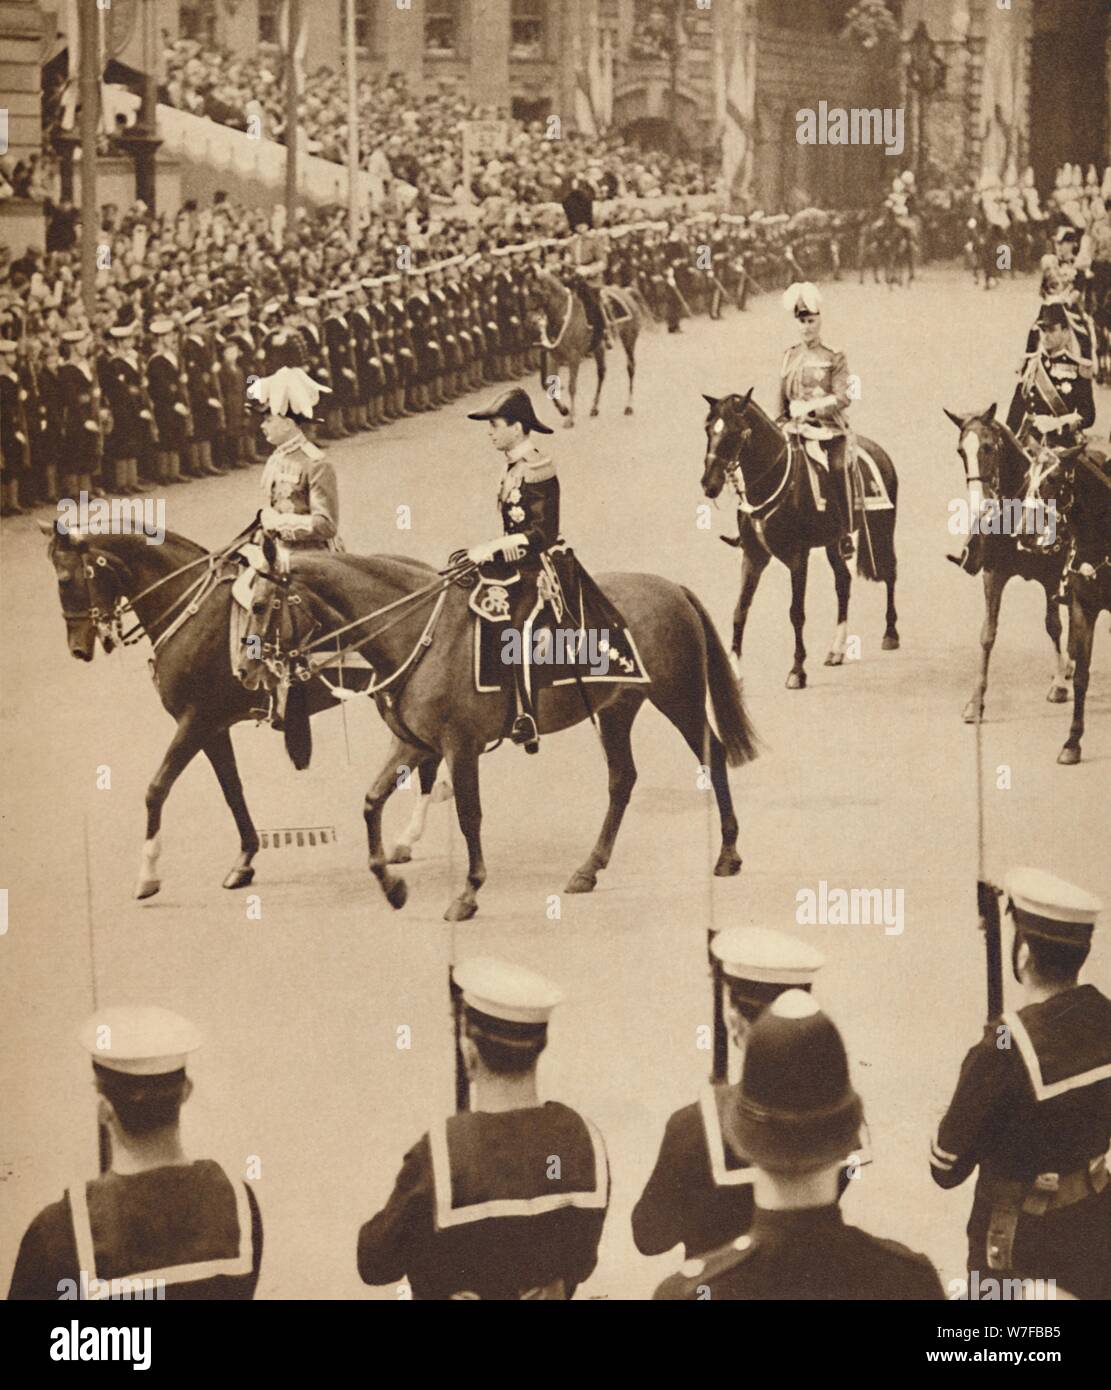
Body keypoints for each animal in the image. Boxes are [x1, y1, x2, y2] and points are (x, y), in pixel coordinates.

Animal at [240, 539, 761, 922]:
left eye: (261, 605)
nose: (246, 672)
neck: (418, 634)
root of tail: (672, 587)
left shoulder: (459, 746)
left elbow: (469, 816)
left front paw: (468, 893)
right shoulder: (412, 743)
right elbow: (371, 802)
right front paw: (391, 885)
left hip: (679, 699)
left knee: (712, 756)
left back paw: (728, 852)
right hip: (617, 710)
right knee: (622, 780)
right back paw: (588, 868)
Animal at [528, 265, 642, 425]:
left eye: (536, 292)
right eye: (528, 291)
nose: (532, 321)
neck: (563, 316)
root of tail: (626, 292)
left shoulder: (574, 358)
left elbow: (571, 386)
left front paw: (570, 418)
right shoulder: (554, 357)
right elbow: (550, 385)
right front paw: (564, 410)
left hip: (629, 341)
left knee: (630, 368)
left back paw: (628, 406)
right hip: (599, 348)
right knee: (601, 373)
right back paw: (594, 408)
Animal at [703, 389, 901, 692]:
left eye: (735, 432)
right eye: (708, 429)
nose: (708, 484)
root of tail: (879, 451)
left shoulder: (798, 557)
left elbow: (796, 612)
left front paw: (797, 671)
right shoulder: (754, 555)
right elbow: (740, 609)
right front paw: (734, 671)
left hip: (882, 528)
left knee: (889, 572)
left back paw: (890, 633)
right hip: (834, 542)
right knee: (843, 582)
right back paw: (836, 650)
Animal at [939, 405, 1079, 722]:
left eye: (989, 447)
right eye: (960, 451)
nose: (979, 504)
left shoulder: (1052, 577)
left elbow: (1053, 626)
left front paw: (1059, 686)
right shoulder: (993, 574)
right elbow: (987, 634)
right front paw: (976, 701)